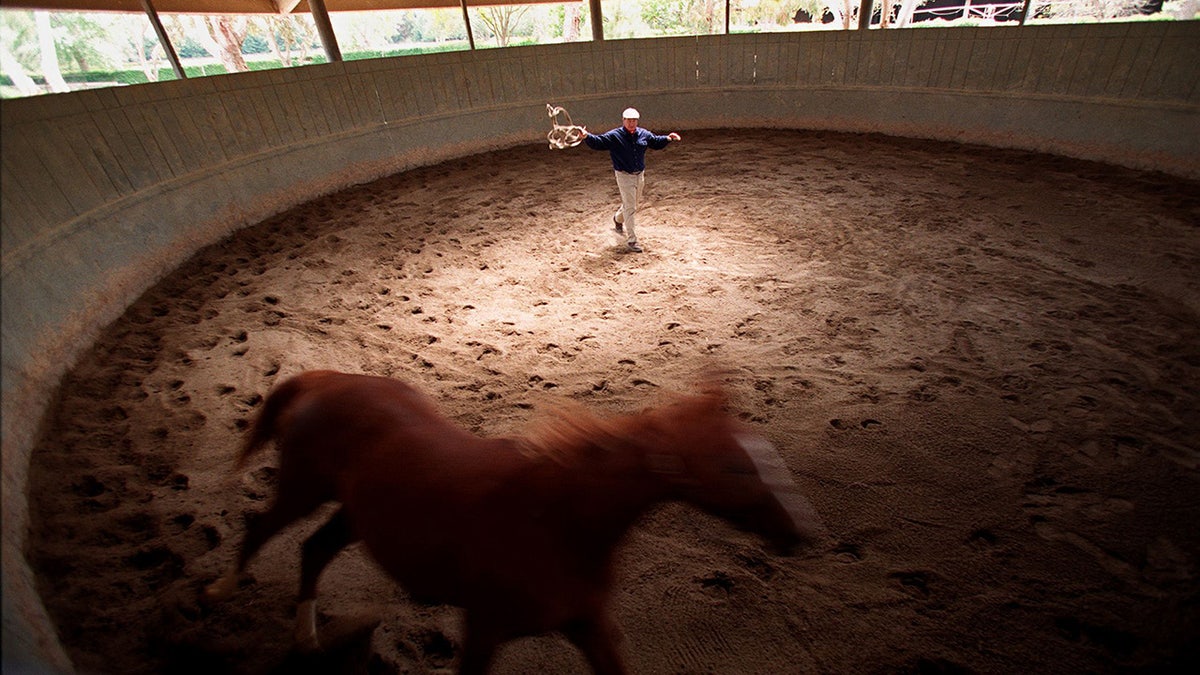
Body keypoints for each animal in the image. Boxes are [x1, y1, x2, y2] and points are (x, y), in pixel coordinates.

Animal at [208, 369, 825, 667]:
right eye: (736, 467)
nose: (804, 532)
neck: (557, 519)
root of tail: (325, 379)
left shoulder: (589, 625)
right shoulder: (484, 628)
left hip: (353, 513)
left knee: (313, 549)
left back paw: (308, 639)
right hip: (302, 488)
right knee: (261, 529)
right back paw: (222, 589)